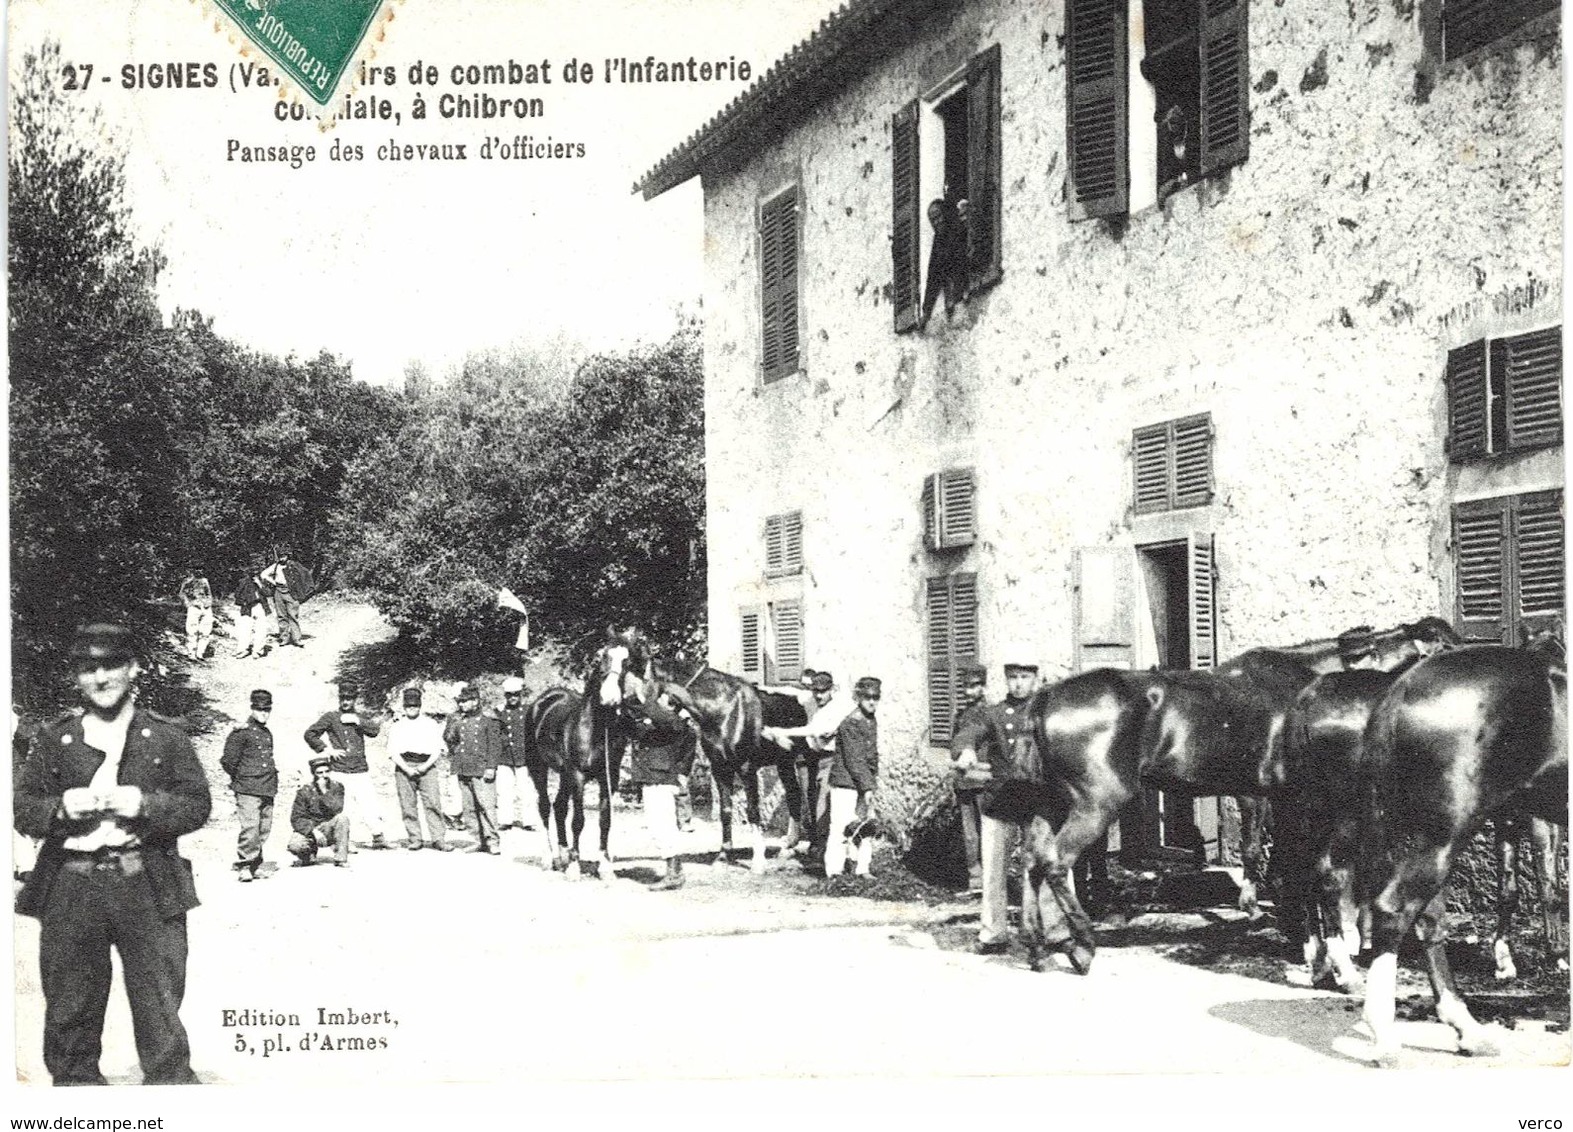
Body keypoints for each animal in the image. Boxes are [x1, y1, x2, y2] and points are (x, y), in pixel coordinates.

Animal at [522, 635, 644, 874]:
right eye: (602, 655)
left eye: (627, 661)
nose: (610, 697)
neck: (595, 727)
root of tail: (542, 700)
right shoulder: (578, 776)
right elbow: (578, 820)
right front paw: (574, 868)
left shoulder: (609, 778)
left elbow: (605, 820)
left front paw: (604, 866)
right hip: (539, 767)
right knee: (544, 807)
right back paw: (549, 858)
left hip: (564, 774)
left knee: (559, 807)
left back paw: (562, 855)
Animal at [1013, 619, 1453, 974]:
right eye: (1446, 647)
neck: (1310, 688)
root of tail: (1045, 698)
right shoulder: (1283, 799)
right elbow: (1288, 864)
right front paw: (1297, 934)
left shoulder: (1272, 797)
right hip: (1097, 803)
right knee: (1056, 863)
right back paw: (1082, 947)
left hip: (1051, 805)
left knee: (1033, 862)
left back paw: (1039, 949)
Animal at [1359, 641, 1566, 1062]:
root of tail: (1400, 689)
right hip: (1444, 834)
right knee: (1395, 910)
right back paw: (1385, 1034)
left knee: (1427, 921)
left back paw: (1466, 1028)